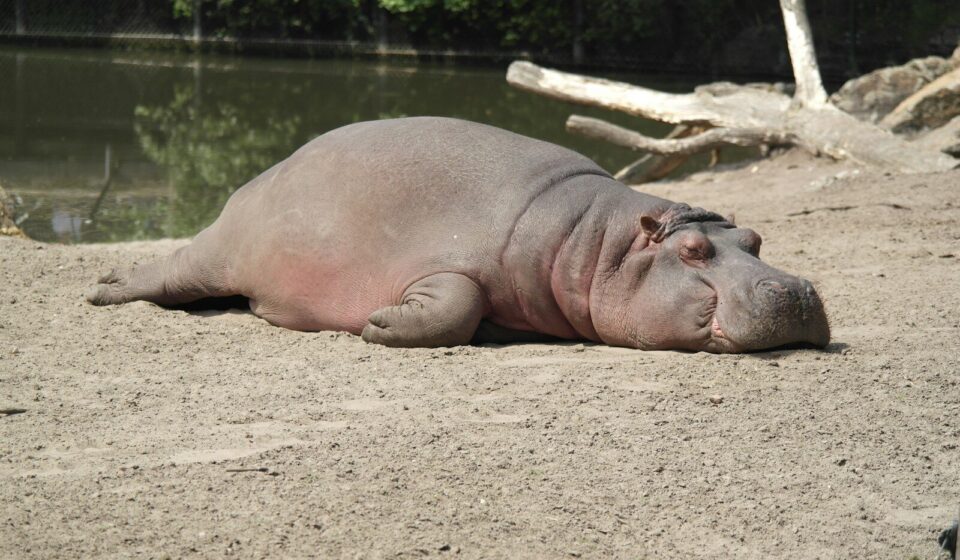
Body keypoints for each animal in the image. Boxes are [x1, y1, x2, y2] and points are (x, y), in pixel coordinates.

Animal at [87, 117, 829, 352]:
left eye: (756, 239)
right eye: (693, 251)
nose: (794, 290)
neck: (596, 243)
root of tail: (253, 181)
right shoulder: (445, 264)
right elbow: (457, 303)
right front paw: (380, 324)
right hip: (217, 254)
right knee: (168, 273)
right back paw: (103, 288)